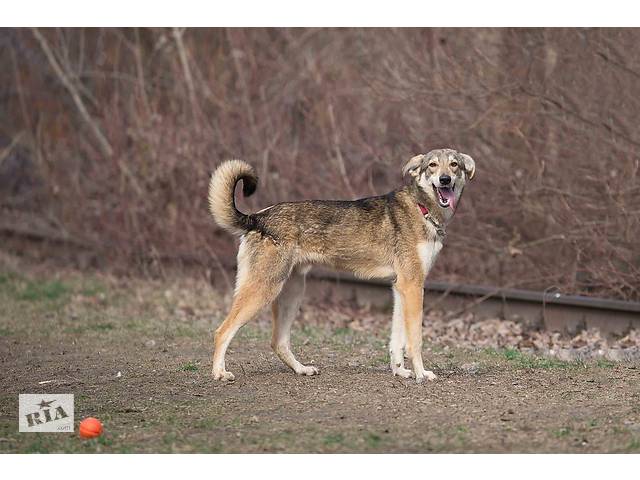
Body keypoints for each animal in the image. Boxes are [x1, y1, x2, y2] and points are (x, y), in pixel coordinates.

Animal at [208, 148, 472, 384]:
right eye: (433, 166)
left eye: (454, 165)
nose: (445, 179)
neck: (422, 208)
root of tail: (257, 217)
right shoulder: (413, 287)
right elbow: (415, 341)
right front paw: (421, 374)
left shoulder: (401, 289)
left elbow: (396, 343)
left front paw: (401, 372)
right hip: (264, 291)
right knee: (222, 331)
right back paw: (220, 373)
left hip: (291, 294)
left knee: (278, 342)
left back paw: (302, 369)